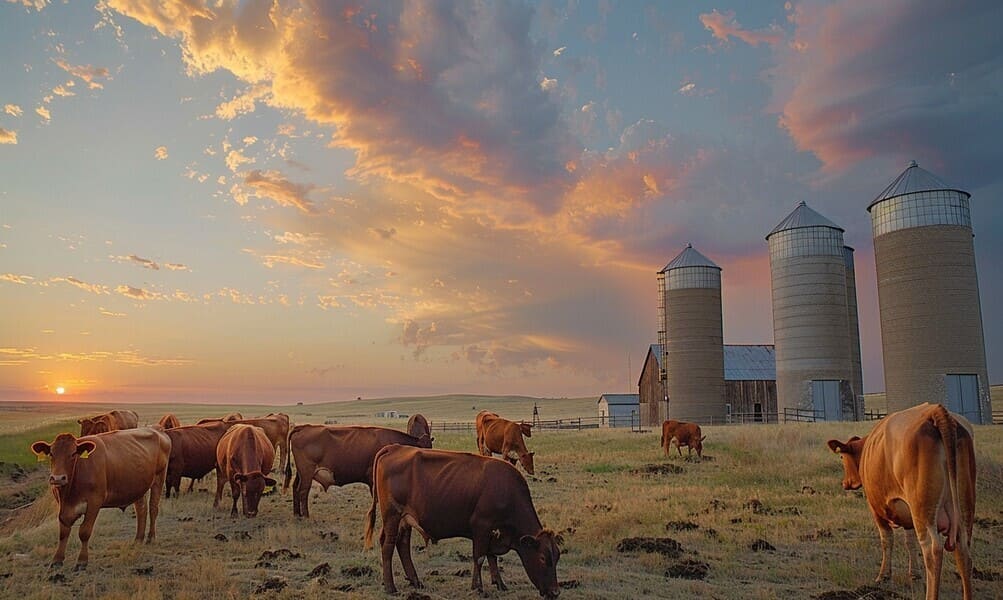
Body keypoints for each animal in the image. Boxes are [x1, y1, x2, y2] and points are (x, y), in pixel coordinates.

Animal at [28, 427, 170, 573]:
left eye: (73, 454)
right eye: (51, 454)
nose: (57, 478)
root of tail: (157, 429)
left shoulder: (94, 502)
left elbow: (84, 532)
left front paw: (82, 561)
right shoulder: (63, 508)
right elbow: (63, 532)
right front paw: (57, 560)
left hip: (159, 477)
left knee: (153, 508)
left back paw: (150, 538)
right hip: (138, 486)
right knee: (141, 510)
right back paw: (138, 540)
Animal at [286, 425, 435, 517]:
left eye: (430, 445)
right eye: (424, 447)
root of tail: (303, 427)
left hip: (301, 473)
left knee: (295, 487)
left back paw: (297, 514)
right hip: (307, 472)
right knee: (303, 491)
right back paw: (306, 516)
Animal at [365, 443, 561, 597]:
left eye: (557, 557)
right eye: (543, 558)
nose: (555, 592)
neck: (506, 489)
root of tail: (394, 447)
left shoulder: (493, 532)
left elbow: (492, 556)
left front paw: (499, 583)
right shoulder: (481, 526)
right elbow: (479, 557)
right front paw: (478, 587)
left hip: (405, 520)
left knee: (403, 545)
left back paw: (415, 581)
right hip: (392, 516)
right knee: (388, 546)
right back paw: (390, 587)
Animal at [826, 405, 974, 600]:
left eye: (842, 457)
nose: (845, 483)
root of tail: (935, 411)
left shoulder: (876, 508)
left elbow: (887, 539)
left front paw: (883, 575)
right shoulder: (908, 514)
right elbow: (909, 542)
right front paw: (914, 574)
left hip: (924, 512)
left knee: (933, 552)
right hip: (963, 510)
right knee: (963, 551)